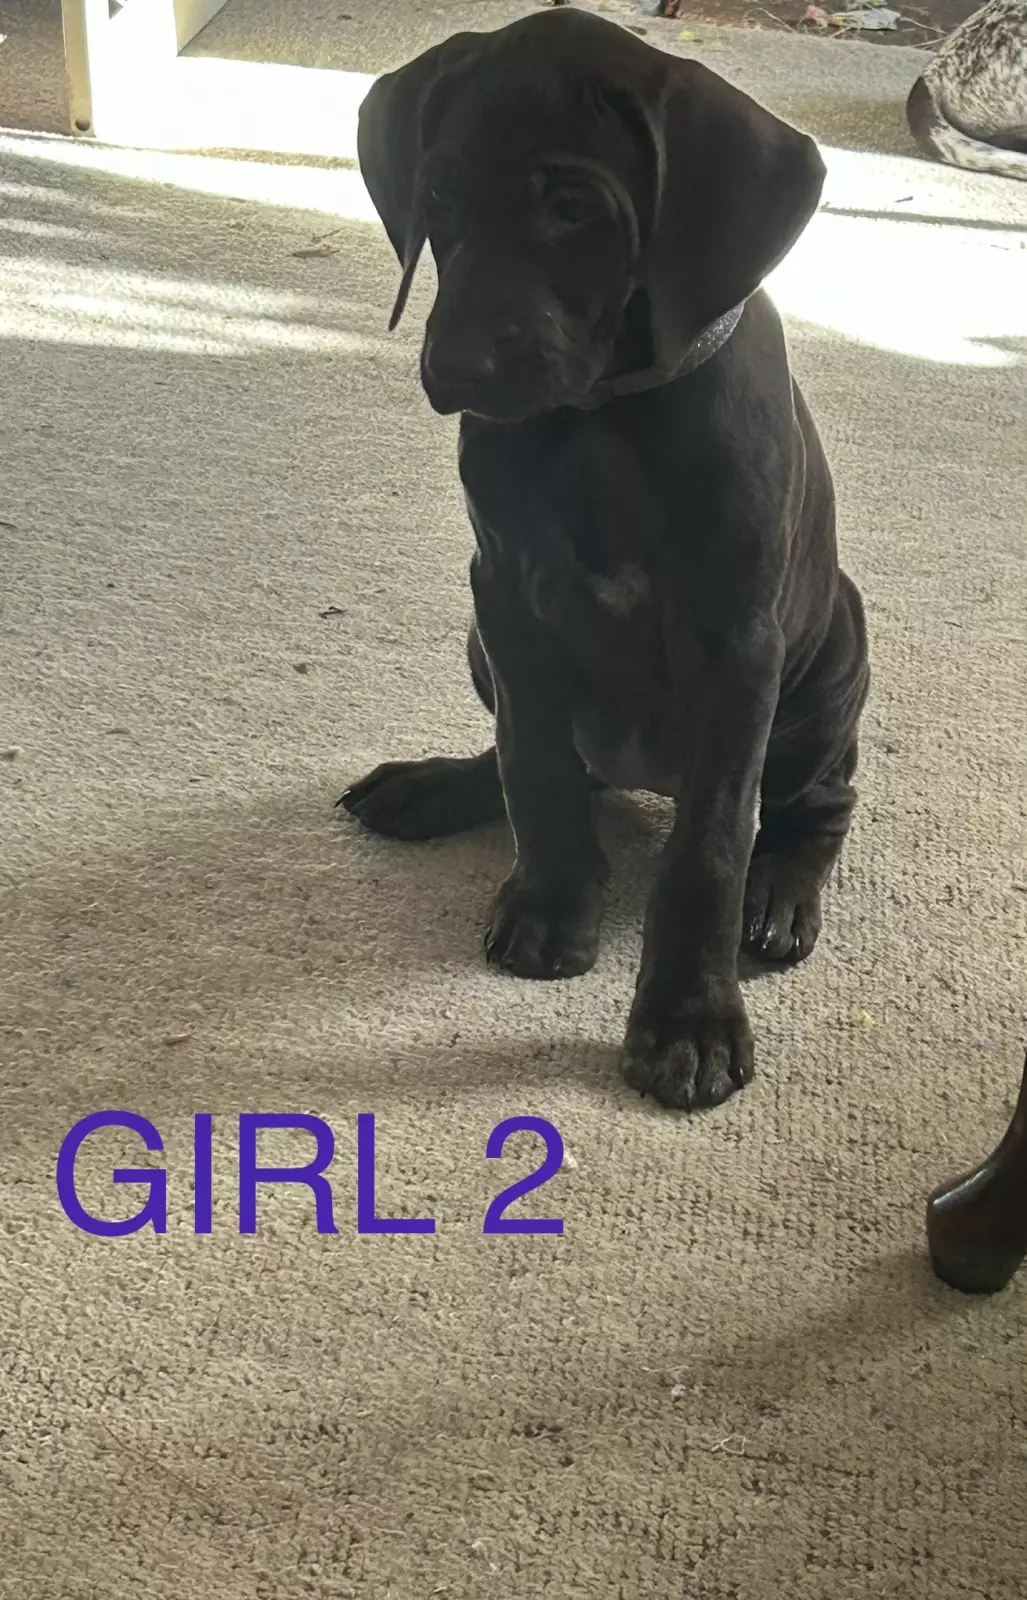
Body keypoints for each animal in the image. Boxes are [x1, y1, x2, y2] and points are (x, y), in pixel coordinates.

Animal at [340, 8, 870, 1112]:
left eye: (573, 208)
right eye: (438, 194)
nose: (457, 370)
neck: (599, 417)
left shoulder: (735, 641)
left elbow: (710, 845)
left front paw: (688, 1021)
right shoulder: (502, 594)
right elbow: (533, 766)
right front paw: (550, 905)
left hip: (831, 655)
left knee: (816, 802)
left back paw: (779, 894)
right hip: (481, 643)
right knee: (537, 758)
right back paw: (431, 786)